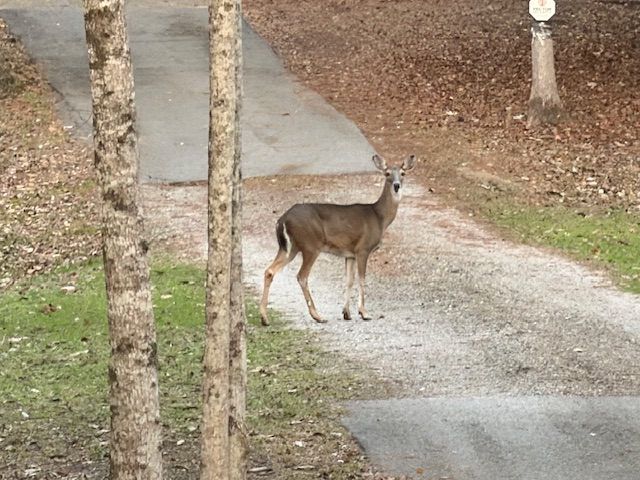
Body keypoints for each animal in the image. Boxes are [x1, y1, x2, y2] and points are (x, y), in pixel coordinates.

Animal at [259, 154, 416, 325]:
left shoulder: (350, 254)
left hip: (289, 247)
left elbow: (349, 280)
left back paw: (264, 318)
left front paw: (346, 313)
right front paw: (364, 312)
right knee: (302, 276)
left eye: (403, 173)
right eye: (387, 173)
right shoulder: (363, 249)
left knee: (269, 271)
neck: (379, 217)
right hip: (311, 245)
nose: (396, 185)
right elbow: (361, 279)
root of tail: (282, 220)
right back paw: (317, 316)